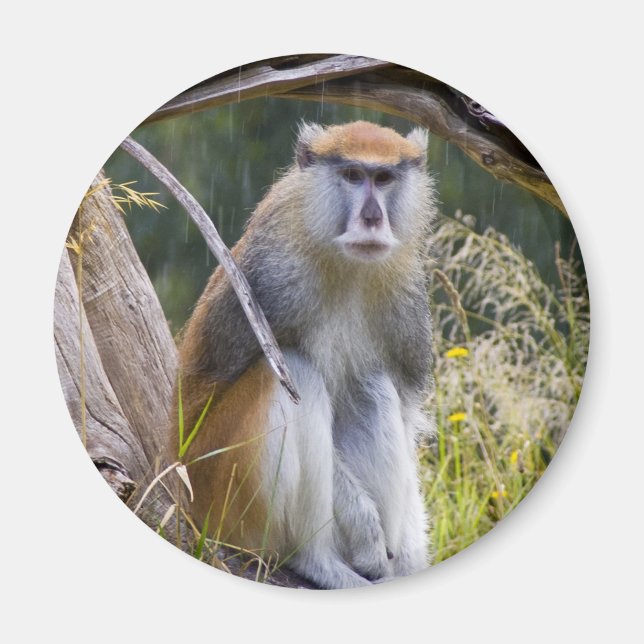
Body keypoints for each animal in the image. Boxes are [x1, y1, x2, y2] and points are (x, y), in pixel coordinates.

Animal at [168, 120, 436, 589]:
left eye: (384, 178)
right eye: (352, 175)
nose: (372, 218)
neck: (346, 264)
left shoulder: (406, 304)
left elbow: (404, 416)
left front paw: (406, 553)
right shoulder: (272, 280)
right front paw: (365, 528)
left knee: (372, 385)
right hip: (220, 494)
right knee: (294, 372)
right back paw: (319, 562)